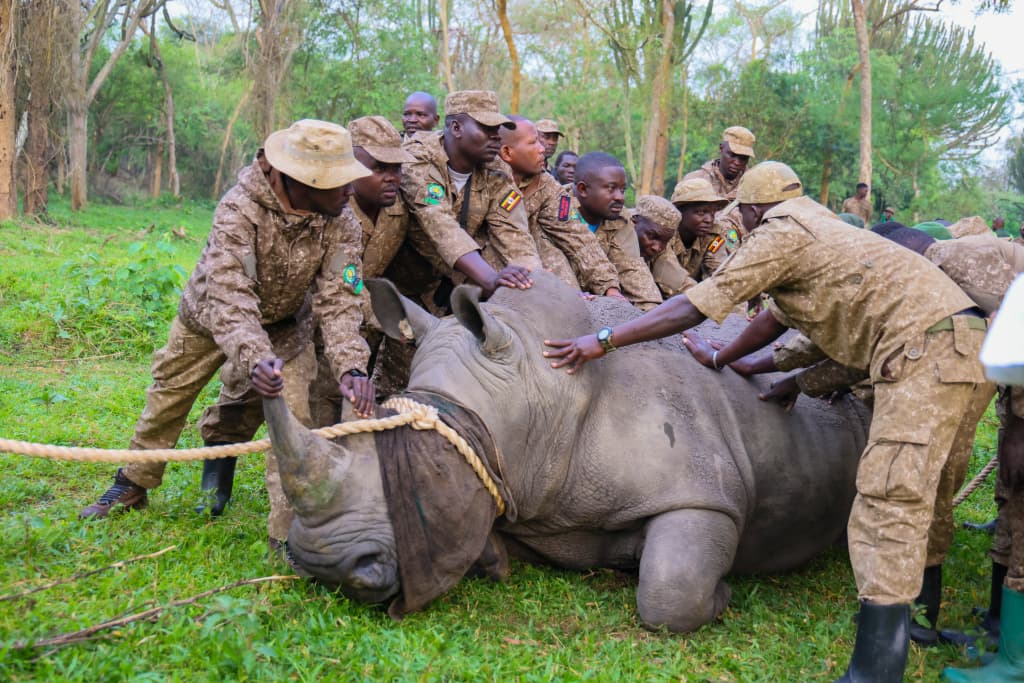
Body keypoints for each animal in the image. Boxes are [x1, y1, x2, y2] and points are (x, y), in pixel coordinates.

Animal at [264, 271, 870, 632]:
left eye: (427, 468)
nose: (324, 568)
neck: (541, 392)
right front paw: (494, 558)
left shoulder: (705, 494)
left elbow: (668, 593)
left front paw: (720, 597)